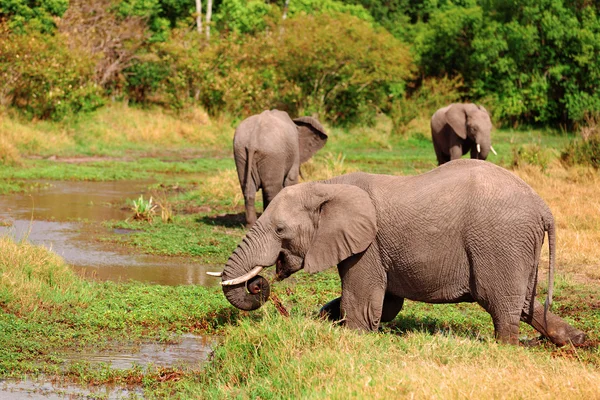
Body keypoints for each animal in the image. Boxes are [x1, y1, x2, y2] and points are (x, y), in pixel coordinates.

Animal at [211, 158, 584, 346]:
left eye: (279, 231)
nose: (258, 283)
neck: (327, 186)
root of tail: (542, 206)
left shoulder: (368, 246)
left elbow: (363, 303)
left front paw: (350, 334)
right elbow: (388, 304)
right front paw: (323, 319)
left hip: (499, 242)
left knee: (501, 303)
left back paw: (505, 348)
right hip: (516, 245)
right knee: (524, 301)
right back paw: (575, 340)